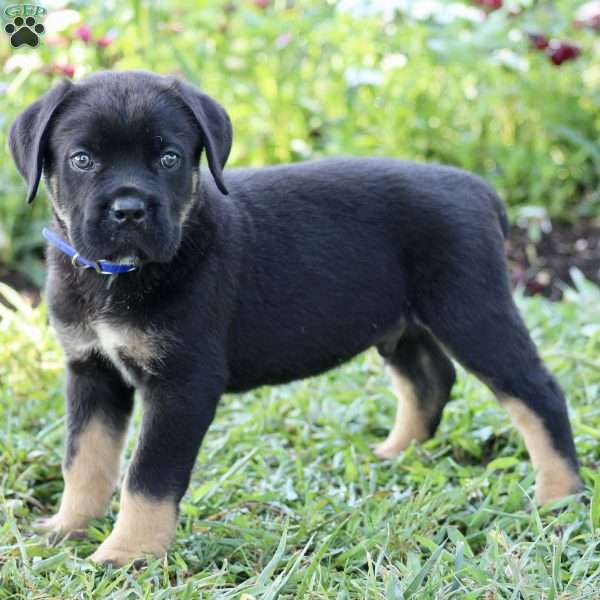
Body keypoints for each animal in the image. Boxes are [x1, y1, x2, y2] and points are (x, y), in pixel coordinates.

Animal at [8, 71, 580, 568]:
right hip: (399, 321)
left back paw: (559, 496)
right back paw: (396, 455)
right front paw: (67, 529)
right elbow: (84, 458)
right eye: (82, 160)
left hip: (471, 310)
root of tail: (480, 190)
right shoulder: (91, 369)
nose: (129, 210)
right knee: (430, 379)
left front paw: (127, 554)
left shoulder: (183, 382)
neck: (118, 277)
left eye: (169, 158)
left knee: (538, 393)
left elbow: (148, 475)